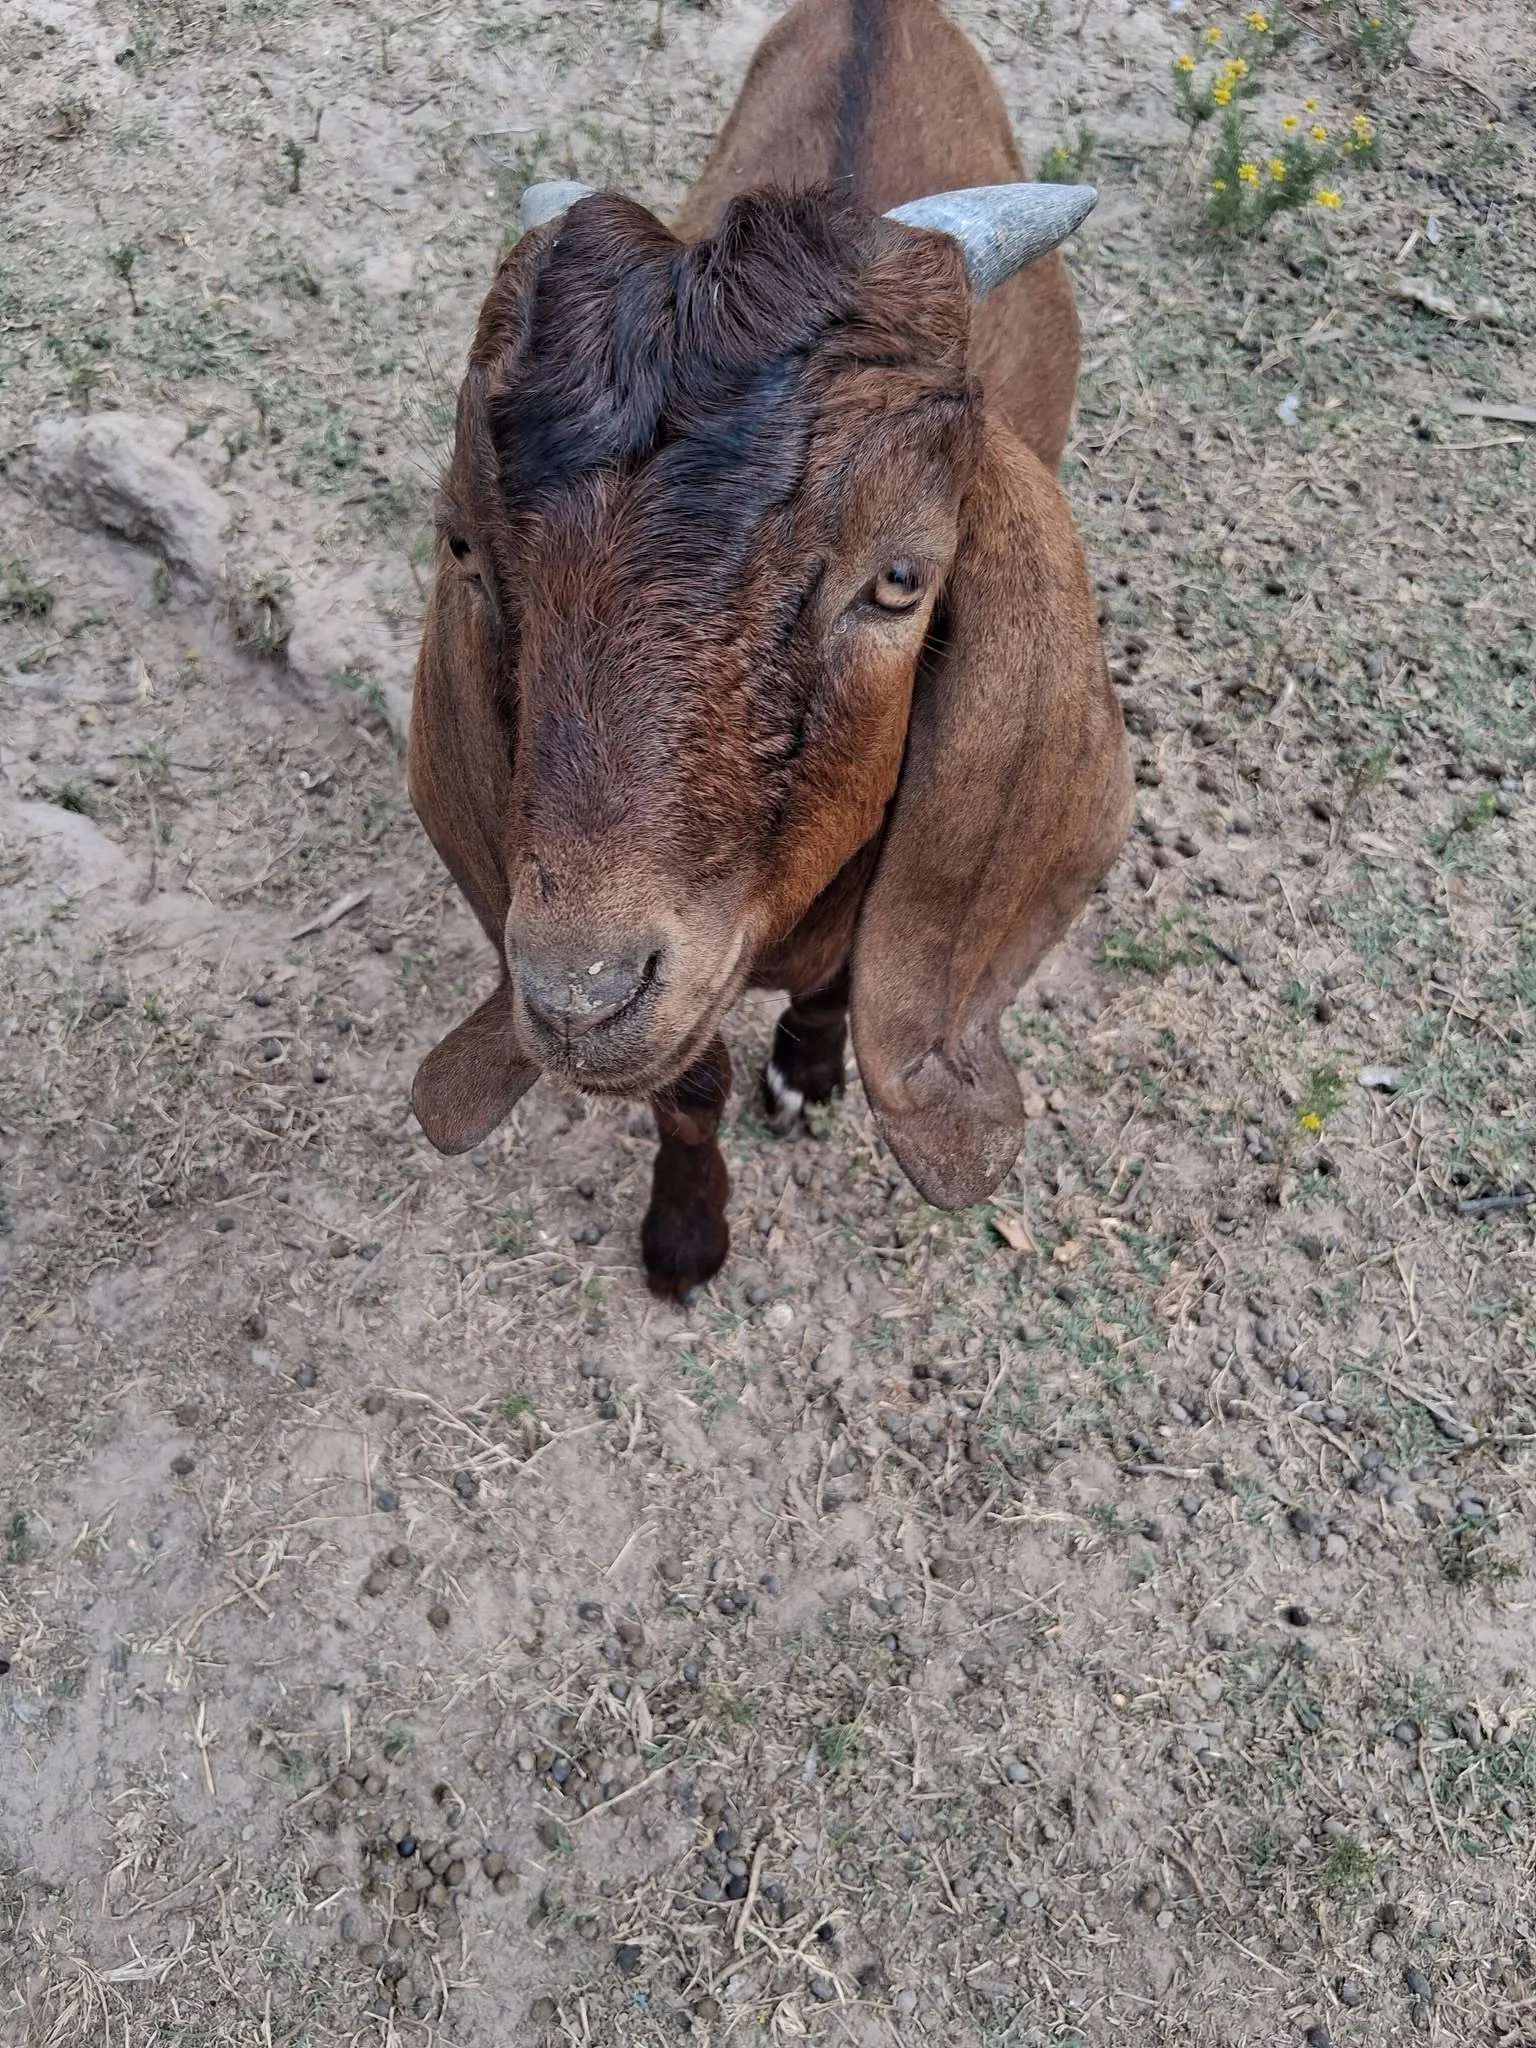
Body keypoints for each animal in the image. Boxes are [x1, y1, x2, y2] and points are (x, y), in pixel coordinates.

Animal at [407, 0, 1133, 1299]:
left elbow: (846, 981)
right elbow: (687, 1083)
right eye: (467, 551)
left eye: (900, 579)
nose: (580, 995)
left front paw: (805, 1072)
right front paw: (687, 1235)